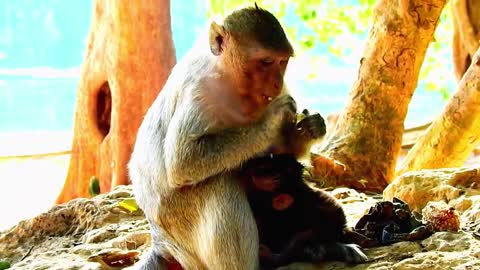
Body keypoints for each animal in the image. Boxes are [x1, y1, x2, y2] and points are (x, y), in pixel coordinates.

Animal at [129, 4, 318, 270]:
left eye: (282, 61)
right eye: (266, 61)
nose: (276, 82)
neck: (231, 81)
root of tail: (160, 239)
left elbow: (283, 156)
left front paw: (309, 128)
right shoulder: (200, 92)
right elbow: (182, 161)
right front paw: (271, 120)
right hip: (178, 224)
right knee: (219, 185)